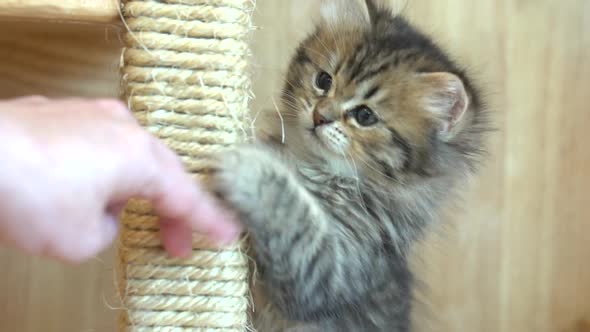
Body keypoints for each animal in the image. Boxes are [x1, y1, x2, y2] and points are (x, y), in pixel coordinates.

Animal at [213, 0, 490, 332]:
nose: (320, 116)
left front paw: (250, 166)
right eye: (324, 81)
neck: (313, 167)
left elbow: (292, 215)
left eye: (365, 116)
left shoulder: (330, 275)